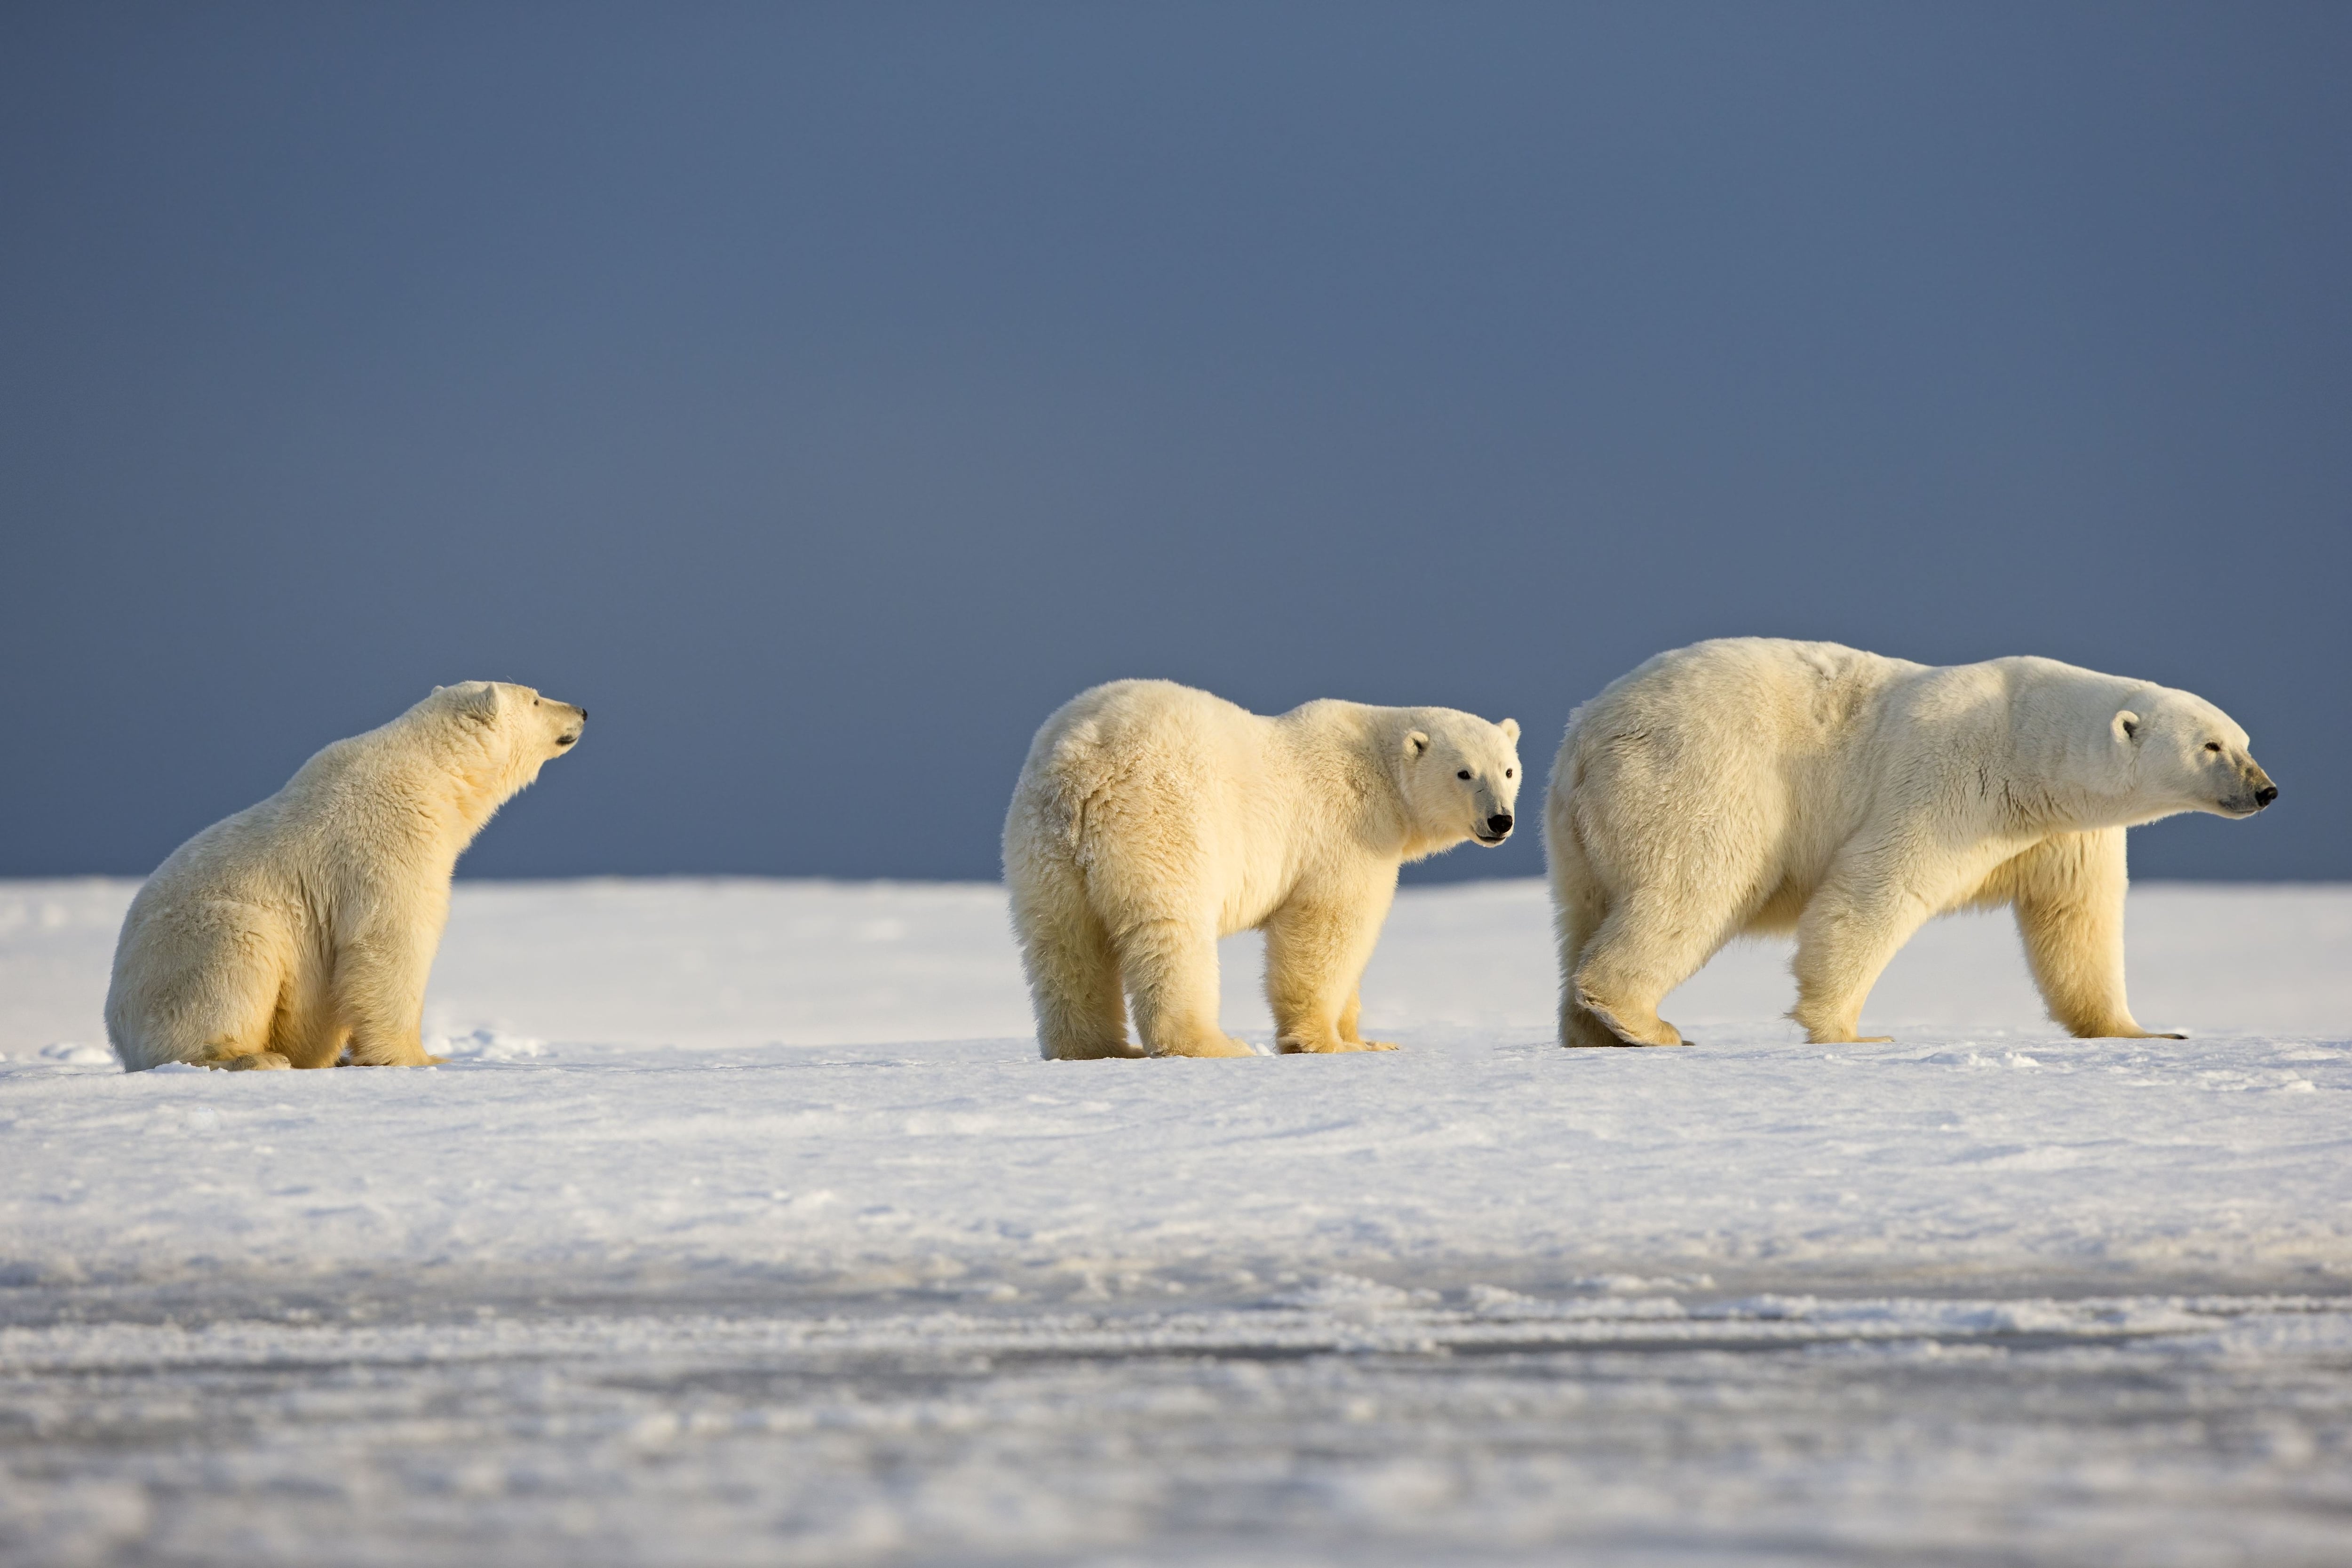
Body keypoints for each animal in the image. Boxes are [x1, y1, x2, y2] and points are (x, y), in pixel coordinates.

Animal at [107, 686, 588, 1081]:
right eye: (536, 699)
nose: (582, 711)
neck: (433, 774)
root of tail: (117, 1025)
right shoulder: (388, 840)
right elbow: (393, 941)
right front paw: (420, 1058)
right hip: (198, 940)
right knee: (232, 964)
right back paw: (251, 1057)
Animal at [997, 682, 1515, 1062]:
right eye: (1464, 773)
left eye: (1508, 770)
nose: (1500, 820)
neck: (1379, 770)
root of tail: (1081, 763)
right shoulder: (1346, 834)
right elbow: (1328, 931)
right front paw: (1325, 1042)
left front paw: (1366, 1040)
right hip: (1159, 824)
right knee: (1170, 935)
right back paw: (1215, 1045)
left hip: (1043, 849)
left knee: (1062, 944)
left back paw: (1096, 1049)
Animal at [1543, 639, 2277, 1053]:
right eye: (2211, 745)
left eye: (2244, 741)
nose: (2266, 790)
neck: (2032, 748)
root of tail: (1587, 730)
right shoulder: (1953, 781)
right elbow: (1879, 885)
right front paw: (1852, 1032)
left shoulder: (2064, 834)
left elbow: (2078, 922)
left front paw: (2145, 1030)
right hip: (1699, 774)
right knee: (1694, 884)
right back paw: (1646, 1021)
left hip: (1579, 831)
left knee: (1585, 911)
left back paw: (1593, 1033)